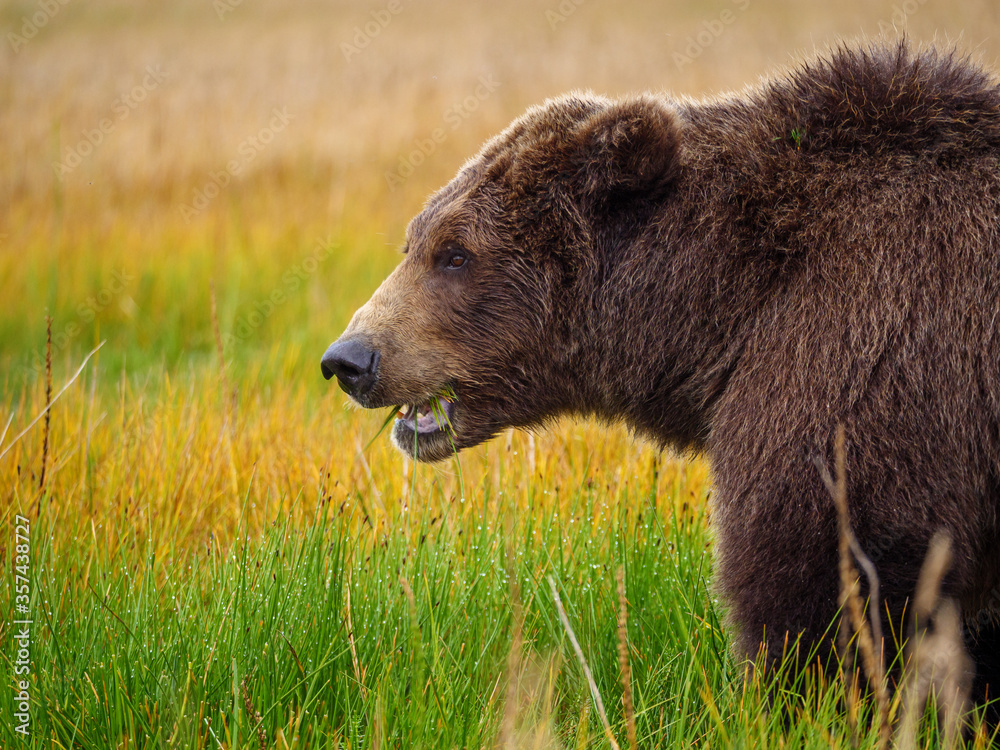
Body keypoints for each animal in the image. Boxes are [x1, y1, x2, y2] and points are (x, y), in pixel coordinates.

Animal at [320, 42, 1000, 724]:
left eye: (455, 253)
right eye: (414, 242)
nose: (349, 359)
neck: (723, 308)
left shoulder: (871, 367)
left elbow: (821, 579)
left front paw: (798, 703)